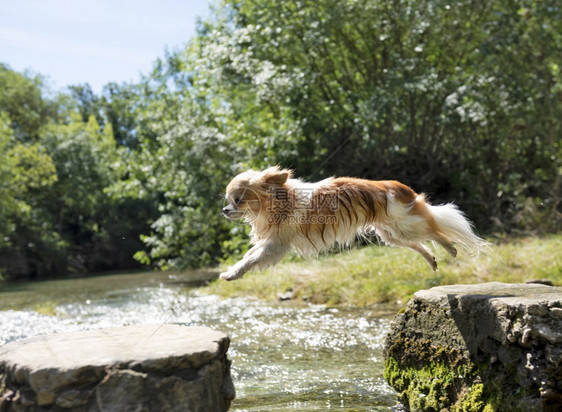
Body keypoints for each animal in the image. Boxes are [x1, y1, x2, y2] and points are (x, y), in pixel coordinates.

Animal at [218, 167, 486, 280]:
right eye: (229, 200)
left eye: (238, 200)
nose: (224, 210)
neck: (281, 199)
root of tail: (400, 187)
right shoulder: (272, 241)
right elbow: (249, 254)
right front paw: (233, 268)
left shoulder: (276, 244)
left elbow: (251, 259)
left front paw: (232, 273)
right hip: (392, 234)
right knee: (419, 244)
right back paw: (431, 259)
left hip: (405, 224)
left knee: (435, 230)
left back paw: (450, 247)